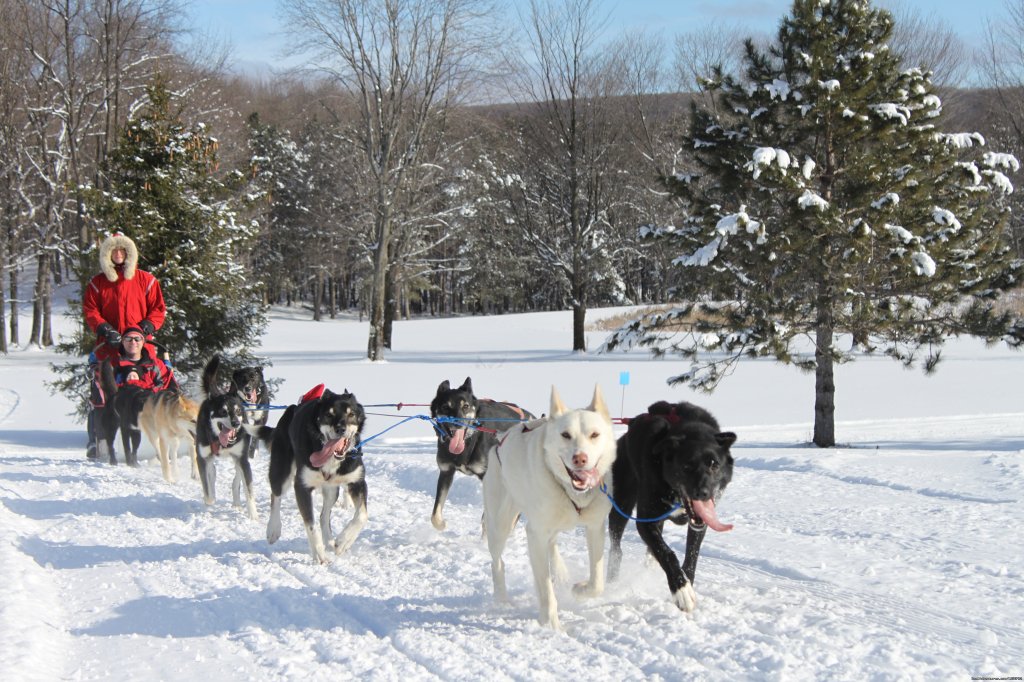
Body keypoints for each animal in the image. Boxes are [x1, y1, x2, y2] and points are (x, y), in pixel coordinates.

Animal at [193, 352, 256, 518]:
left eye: (238, 411)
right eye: (223, 411)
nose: (236, 423)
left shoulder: (242, 459)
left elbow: (249, 491)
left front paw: (254, 516)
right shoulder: (202, 459)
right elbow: (207, 490)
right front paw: (210, 503)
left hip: (240, 460)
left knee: (236, 480)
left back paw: (237, 503)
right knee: (212, 474)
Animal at [256, 382, 368, 561]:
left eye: (351, 414)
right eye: (329, 414)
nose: (341, 429)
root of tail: (293, 408)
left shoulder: (357, 481)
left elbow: (362, 515)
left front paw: (343, 541)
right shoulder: (302, 487)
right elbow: (310, 525)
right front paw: (319, 554)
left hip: (332, 489)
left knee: (324, 515)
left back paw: (329, 541)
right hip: (281, 472)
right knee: (276, 496)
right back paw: (273, 528)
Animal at [428, 376, 532, 532]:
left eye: (465, 406)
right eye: (445, 406)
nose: (458, 423)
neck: (469, 441)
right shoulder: (446, 471)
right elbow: (435, 514)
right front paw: (441, 524)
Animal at [481, 382, 614, 626]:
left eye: (594, 434)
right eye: (565, 435)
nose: (579, 458)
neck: (571, 492)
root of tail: (501, 440)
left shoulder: (595, 527)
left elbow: (597, 582)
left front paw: (580, 590)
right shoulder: (535, 535)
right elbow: (545, 588)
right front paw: (551, 625)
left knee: (552, 544)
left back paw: (560, 571)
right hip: (500, 525)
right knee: (497, 563)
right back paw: (502, 598)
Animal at [606, 399, 737, 610]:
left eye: (714, 464)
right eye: (686, 466)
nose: (703, 492)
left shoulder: (699, 525)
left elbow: (691, 556)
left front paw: (687, 582)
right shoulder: (646, 521)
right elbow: (667, 553)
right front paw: (681, 590)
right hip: (621, 507)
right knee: (616, 547)